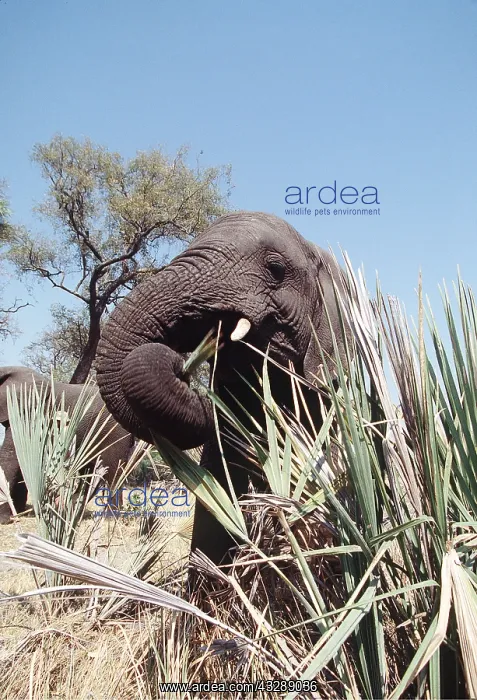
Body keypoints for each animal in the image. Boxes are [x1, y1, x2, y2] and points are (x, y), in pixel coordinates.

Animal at [0, 366, 135, 523]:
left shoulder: (28, 412)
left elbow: (10, 456)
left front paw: (5, 519)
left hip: (115, 432)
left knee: (113, 472)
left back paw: (109, 518)